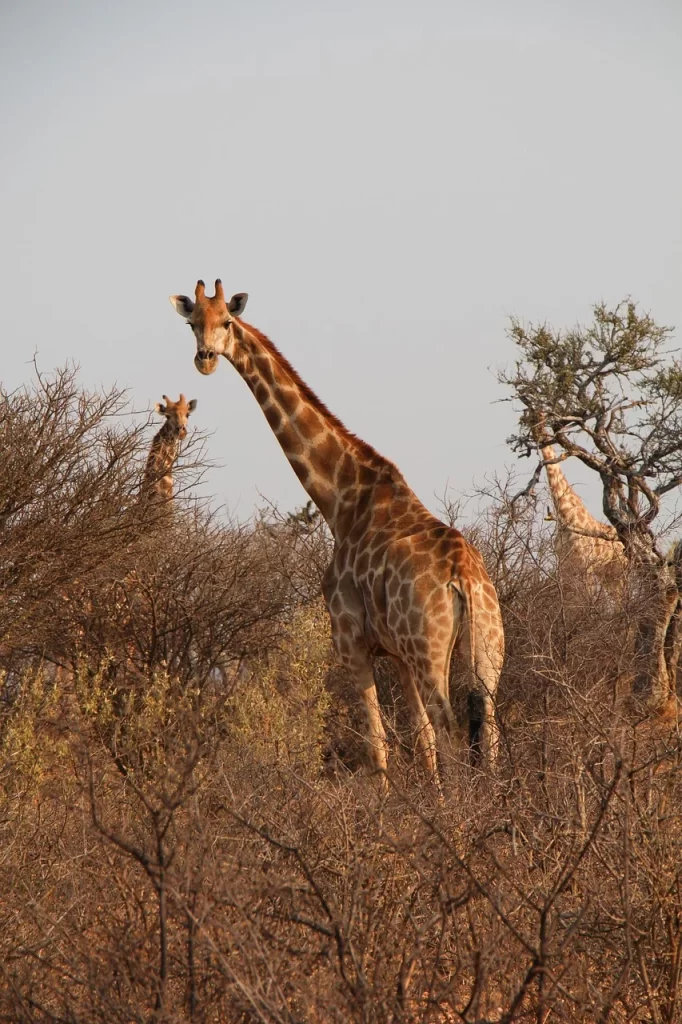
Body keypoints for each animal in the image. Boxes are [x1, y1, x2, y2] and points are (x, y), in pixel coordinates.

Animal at [166, 280, 501, 790]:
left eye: (225, 320)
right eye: (191, 323)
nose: (204, 359)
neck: (340, 501)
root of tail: (464, 577)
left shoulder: (351, 642)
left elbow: (378, 745)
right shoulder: (396, 652)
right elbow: (419, 741)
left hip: (431, 649)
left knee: (451, 729)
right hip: (486, 647)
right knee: (487, 728)